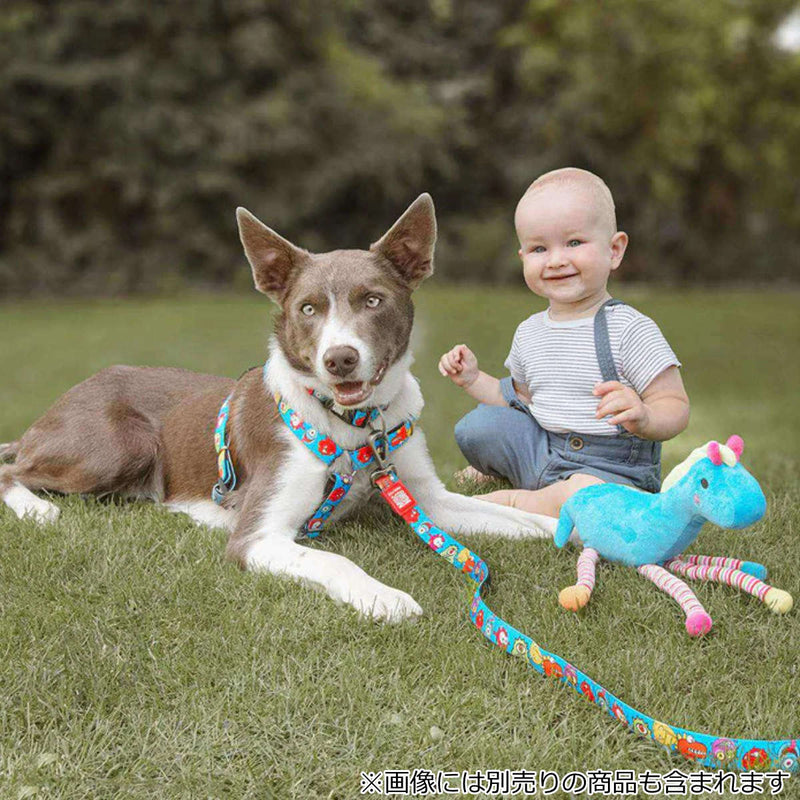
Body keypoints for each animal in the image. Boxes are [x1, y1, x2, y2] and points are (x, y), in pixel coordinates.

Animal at [0, 194, 556, 620]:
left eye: (373, 300)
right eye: (308, 308)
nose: (339, 359)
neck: (354, 424)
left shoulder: (427, 501)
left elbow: (504, 513)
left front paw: (562, 527)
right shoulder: (258, 536)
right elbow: (333, 562)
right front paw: (384, 597)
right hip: (119, 446)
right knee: (11, 469)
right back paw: (37, 508)